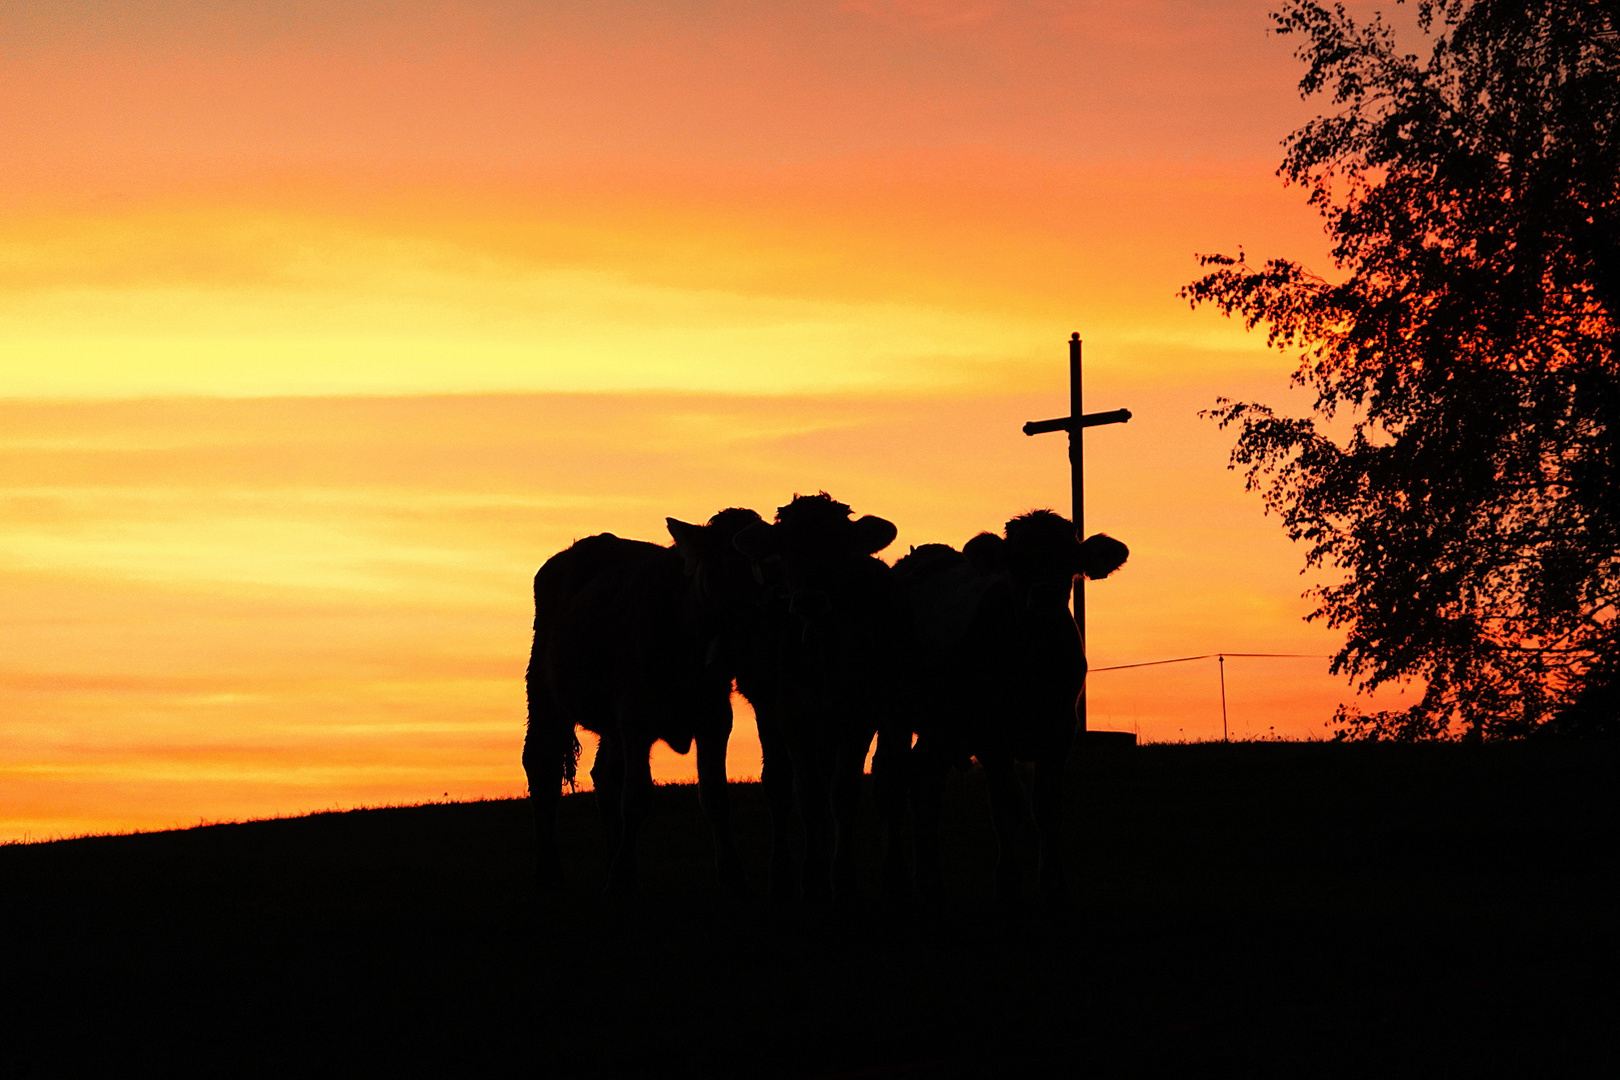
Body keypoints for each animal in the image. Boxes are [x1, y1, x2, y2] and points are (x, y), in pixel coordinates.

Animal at [524, 511, 764, 893]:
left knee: (605, 775)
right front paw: (622, 877)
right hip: (543, 688)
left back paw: (613, 857)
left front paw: (732, 875)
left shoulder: (714, 719)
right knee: (541, 765)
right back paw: (549, 873)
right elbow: (636, 798)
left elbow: (715, 795)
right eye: (725, 558)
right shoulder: (635, 720)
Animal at [735, 495, 913, 900]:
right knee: (778, 784)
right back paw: (781, 873)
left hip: (892, 708)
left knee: (889, 783)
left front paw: (842, 875)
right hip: (773, 714)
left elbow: (843, 792)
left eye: (839, 547)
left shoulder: (859, 714)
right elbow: (809, 794)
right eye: (786, 548)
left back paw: (895, 873)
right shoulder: (793, 714)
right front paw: (812, 875)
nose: (809, 601)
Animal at [894, 511, 1134, 900]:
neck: (1033, 664)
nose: (1047, 594)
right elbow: (1008, 809)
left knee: (925, 782)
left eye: (1070, 560)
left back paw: (930, 880)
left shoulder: (1060, 733)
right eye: (1016, 561)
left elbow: (1048, 809)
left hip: (942, 729)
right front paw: (1007, 882)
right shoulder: (991, 738)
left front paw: (1053, 883)